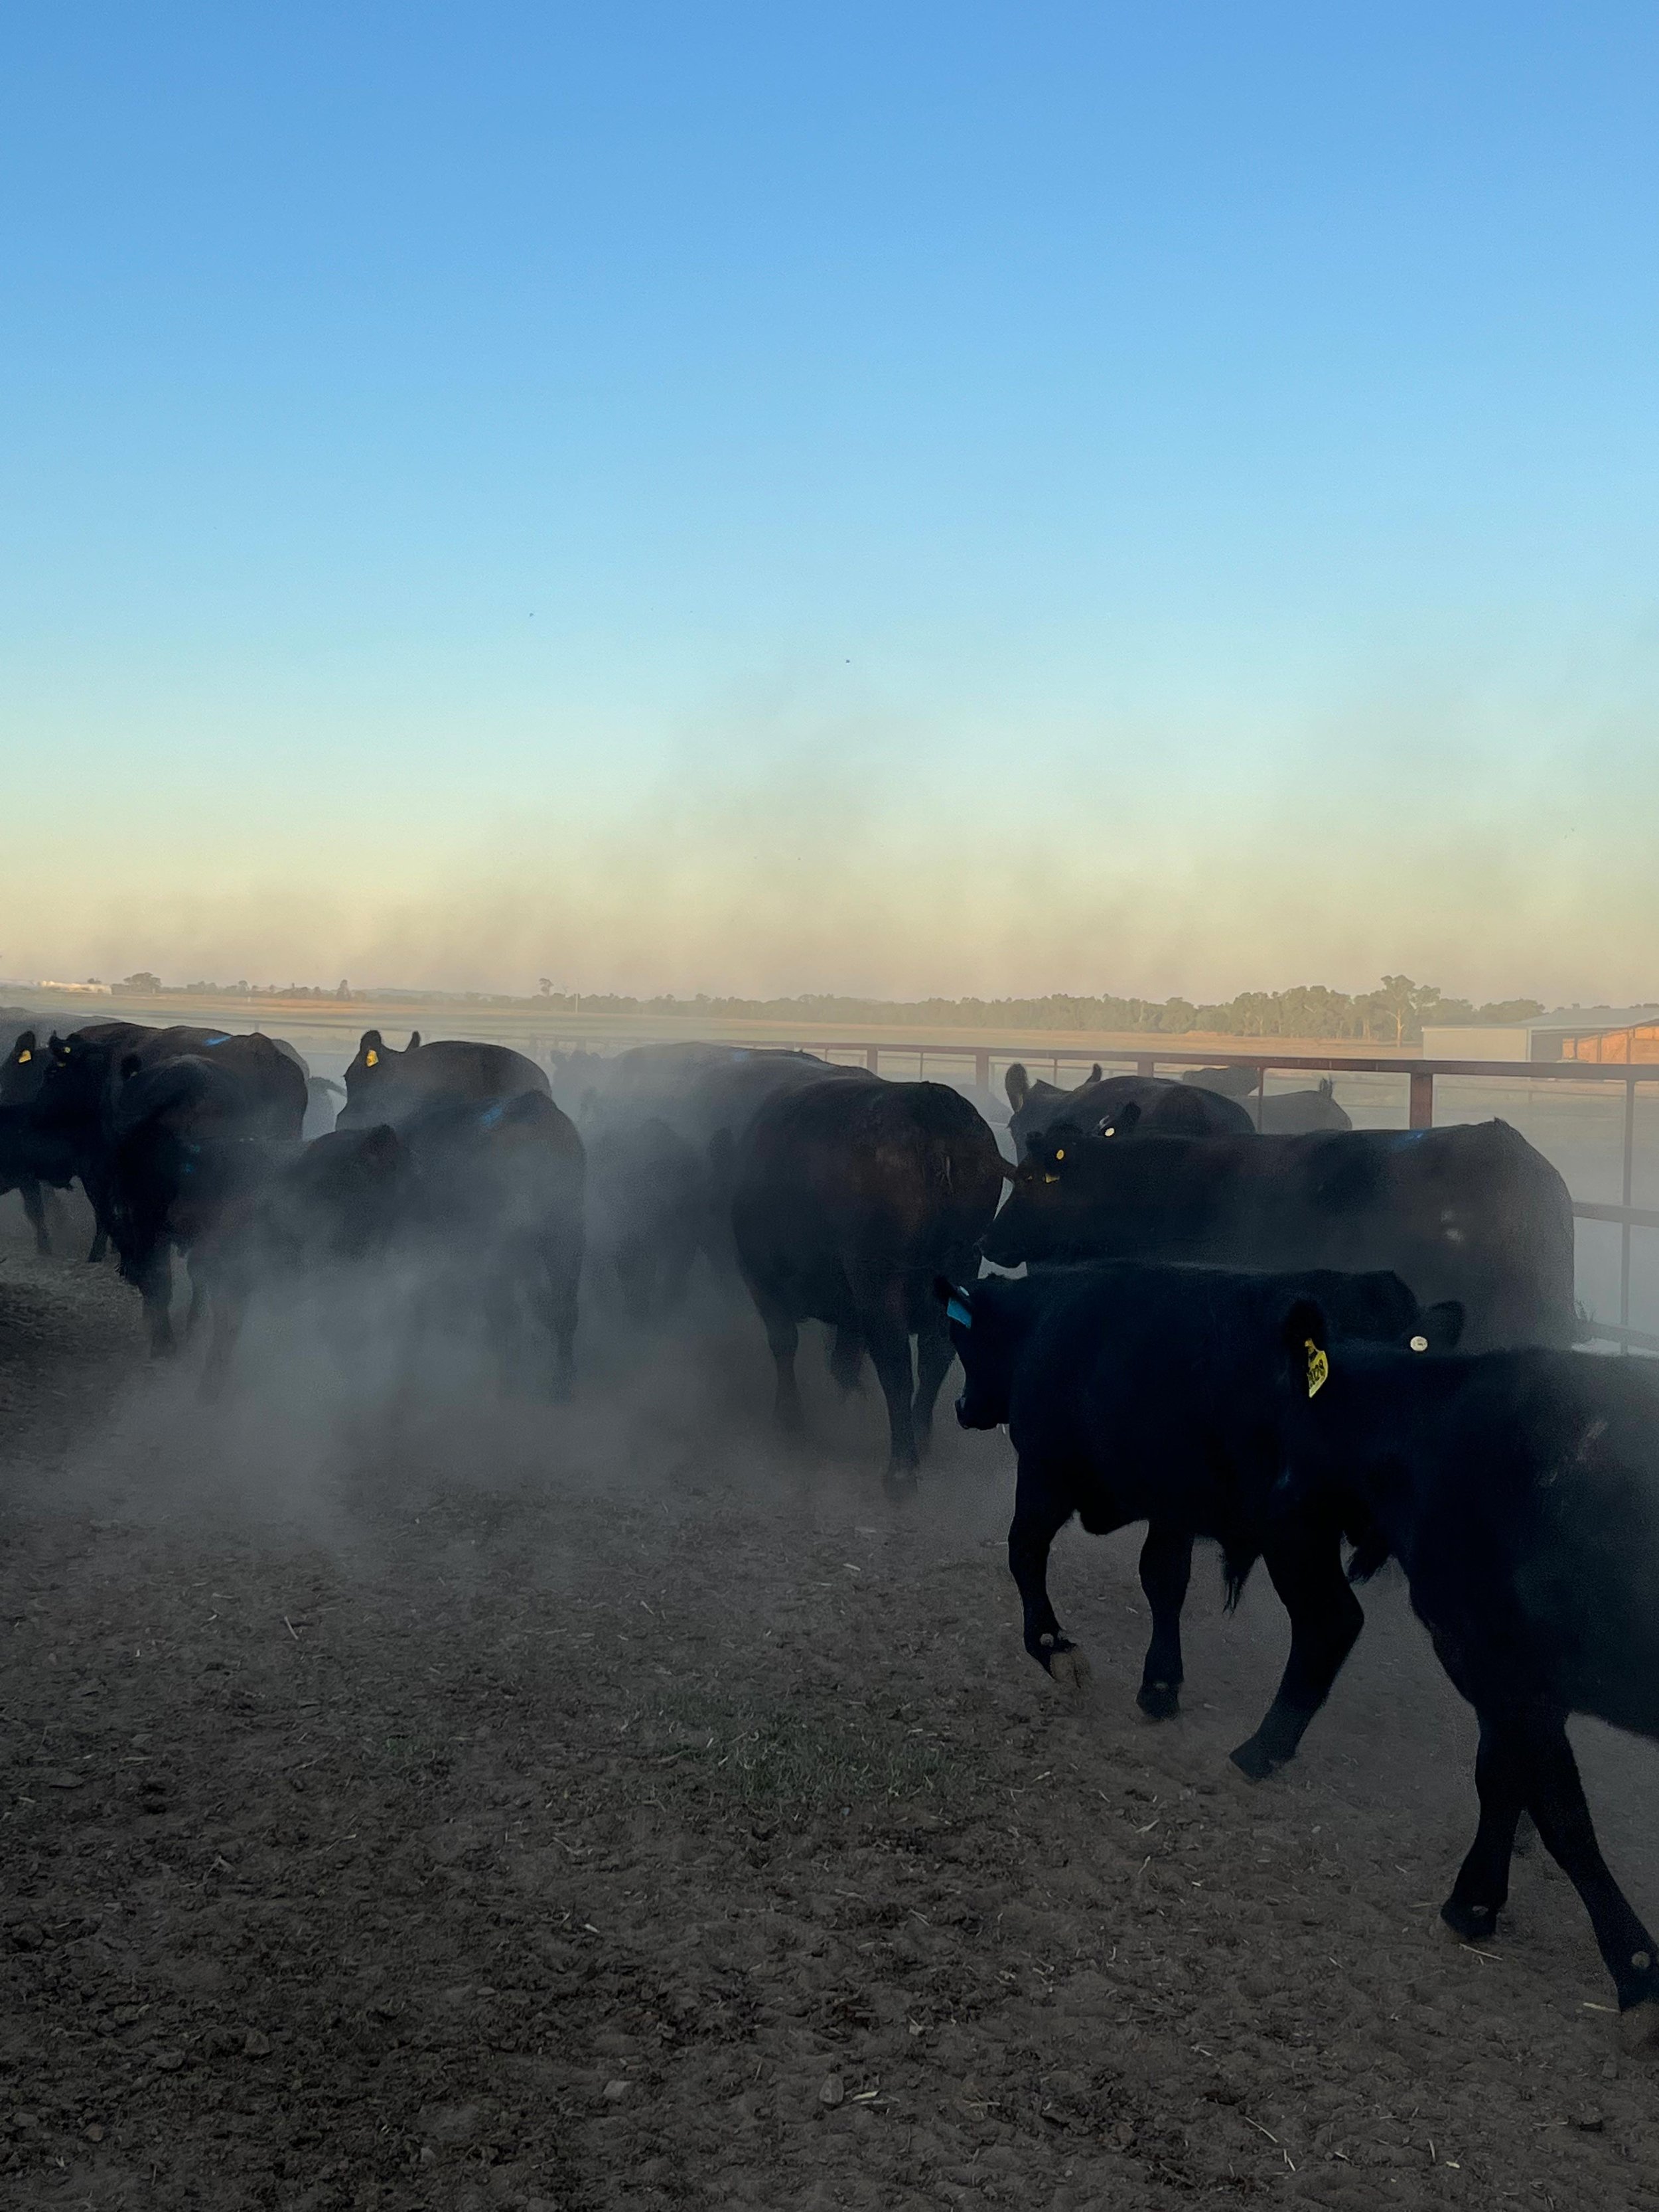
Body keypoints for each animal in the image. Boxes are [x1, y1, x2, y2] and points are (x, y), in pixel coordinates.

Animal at [731, 1076, 1005, 1484]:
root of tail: (933, 1107)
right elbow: (845, 1359)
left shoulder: (762, 1280)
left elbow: (785, 1343)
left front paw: (790, 1417)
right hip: (959, 1267)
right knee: (934, 1356)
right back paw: (920, 1438)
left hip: (880, 1281)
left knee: (895, 1365)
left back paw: (901, 1469)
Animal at [938, 1263, 1462, 1778]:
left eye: (965, 1340)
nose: (961, 1407)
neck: (1047, 1321)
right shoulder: (1173, 1509)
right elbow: (1163, 1579)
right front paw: (1160, 1687)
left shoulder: (1045, 1472)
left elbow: (1024, 1551)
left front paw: (1054, 1649)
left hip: (1297, 1537)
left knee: (1331, 1622)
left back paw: (1262, 1749)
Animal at [1274, 1303, 1659, 2041]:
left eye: (1288, 1414)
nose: (1274, 1490)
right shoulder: (1515, 1679)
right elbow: (1506, 1784)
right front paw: (1477, 1903)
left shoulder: (1496, 1663)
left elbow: (1557, 1814)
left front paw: (1636, 1971)